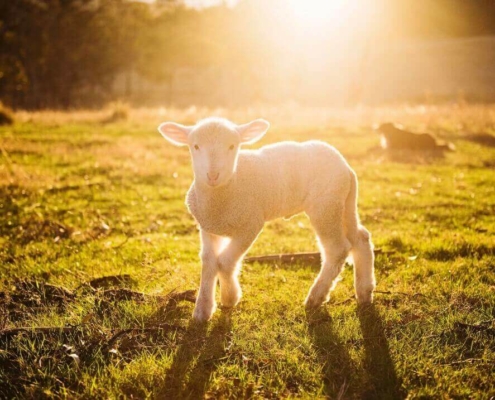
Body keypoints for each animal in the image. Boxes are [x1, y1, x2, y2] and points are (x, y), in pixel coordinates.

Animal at [159, 116, 376, 322]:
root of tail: (346, 166)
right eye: (195, 146)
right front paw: (202, 310)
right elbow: (208, 261)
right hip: (344, 203)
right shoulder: (208, 227)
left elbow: (225, 262)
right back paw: (365, 292)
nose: (212, 175)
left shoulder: (251, 224)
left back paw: (316, 297)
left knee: (337, 249)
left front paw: (230, 297)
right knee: (360, 238)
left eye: (232, 146)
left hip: (326, 206)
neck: (226, 191)